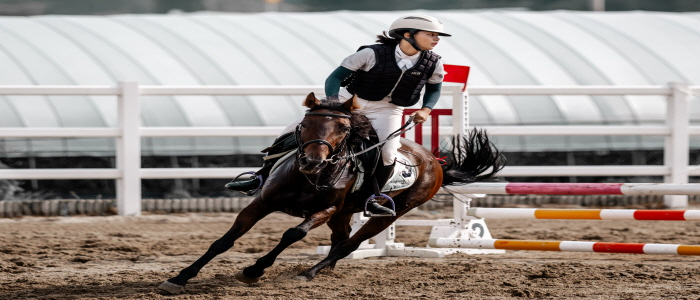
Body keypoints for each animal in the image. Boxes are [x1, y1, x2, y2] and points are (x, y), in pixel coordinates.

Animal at [158, 92, 504, 294]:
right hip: (344, 213)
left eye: (343, 129)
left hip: (385, 214)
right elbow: (225, 240)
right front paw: (180, 278)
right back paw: (325, 270)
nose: (312, 161)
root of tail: (435, 160)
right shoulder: (262, 203)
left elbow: (293, 233)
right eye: (306, 124)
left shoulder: (323, 211)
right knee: (340, 240)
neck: (309, 177)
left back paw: (309, 273)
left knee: (349, 244)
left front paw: (254, 270)